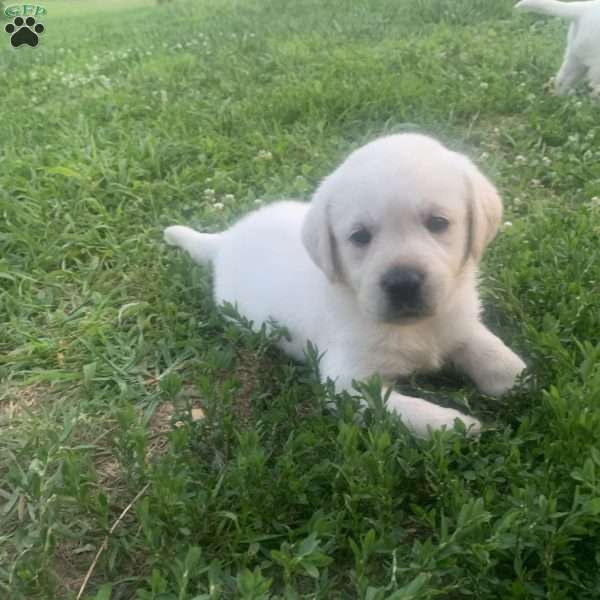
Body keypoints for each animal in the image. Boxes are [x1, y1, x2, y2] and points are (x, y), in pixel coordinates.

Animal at [164, 135, 524, 436]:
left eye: (438, 222)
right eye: (360, 236)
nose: (402, 283)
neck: (414, 329)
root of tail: (226, 239)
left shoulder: (458, 321)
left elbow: (489, 349)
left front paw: (518, 379)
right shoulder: (346, 383)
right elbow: (398, 409)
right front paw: (452, 425)